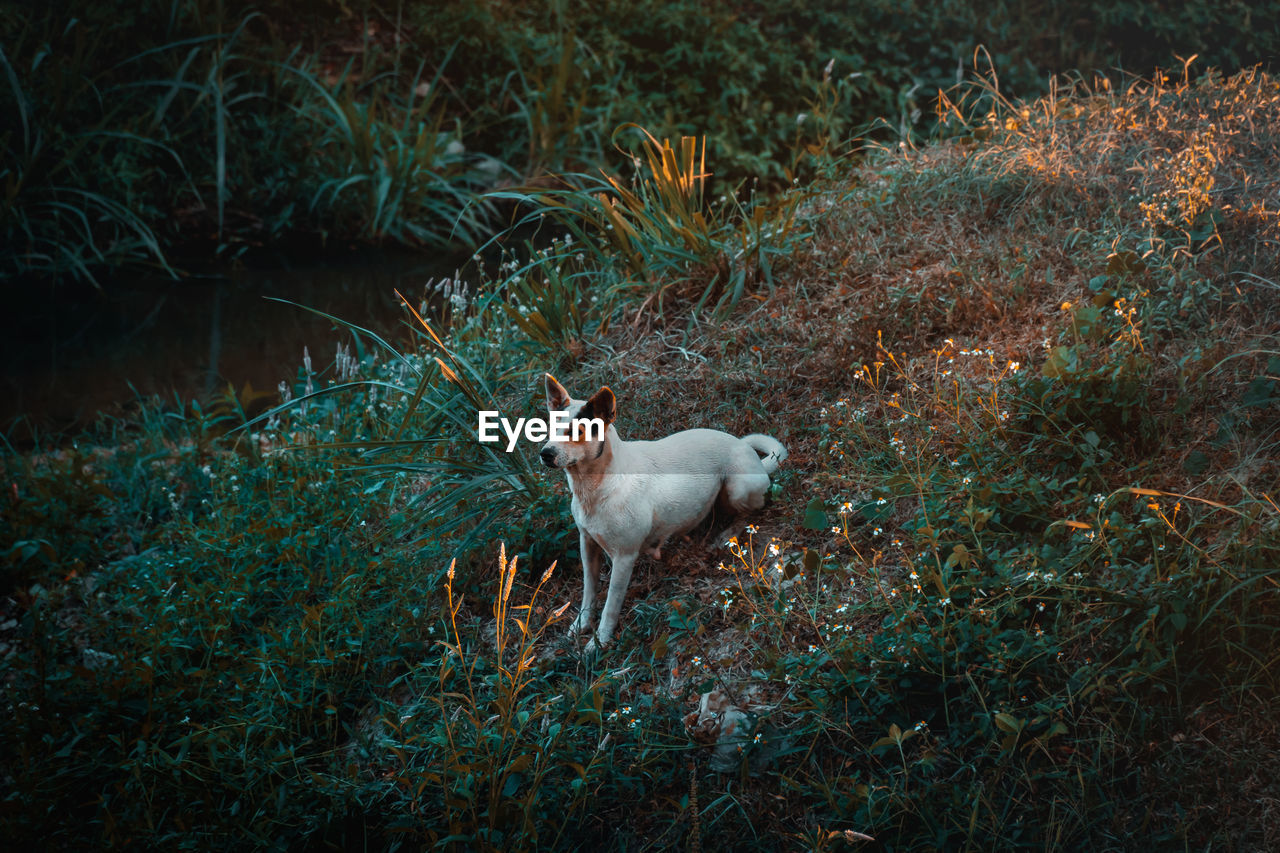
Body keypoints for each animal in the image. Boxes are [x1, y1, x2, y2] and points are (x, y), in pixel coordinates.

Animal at [537, 371, 783, 650]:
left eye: (577, 431)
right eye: (548, 429)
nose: (545, 453)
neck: (594, 487)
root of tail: (747, 450)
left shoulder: (624, 557)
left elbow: (611, 605)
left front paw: (599, 642)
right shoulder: (587, 544)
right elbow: (589, 592)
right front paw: (581, 625)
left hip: (739, 488)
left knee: (751, 513)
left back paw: (726, 534)